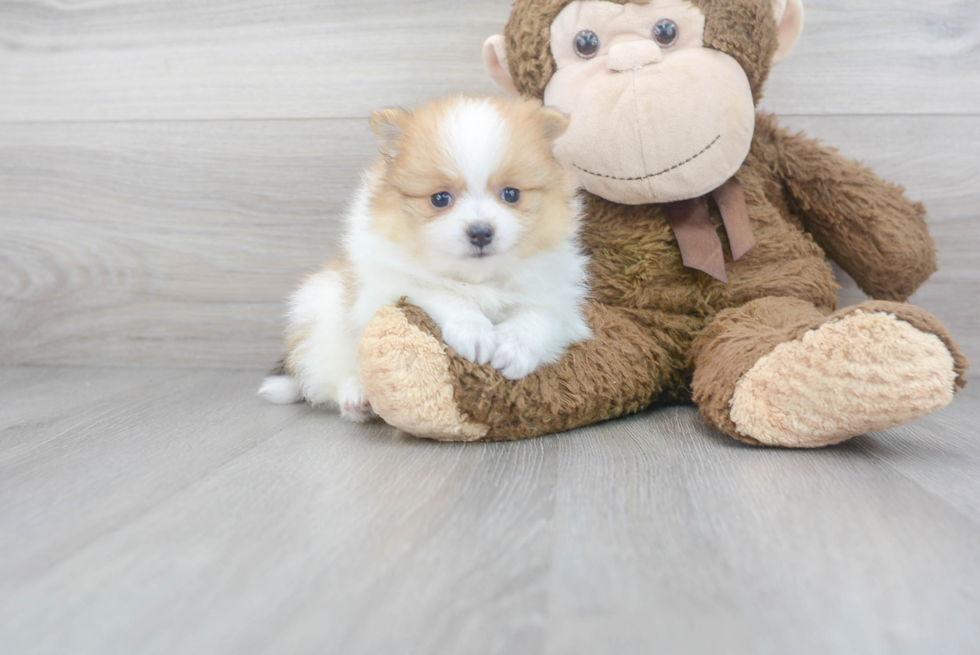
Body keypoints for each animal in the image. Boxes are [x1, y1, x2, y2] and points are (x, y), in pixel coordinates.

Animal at [258, 96, 588, 422]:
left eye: (511, 194)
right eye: (440, 199)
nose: (481, 232)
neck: (477, 278)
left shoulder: (555, 297)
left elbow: (537, 318)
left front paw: (514, 349)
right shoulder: (390, 283)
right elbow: (441, 291)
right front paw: (474, 331)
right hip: (323, 314)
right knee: (330, 374)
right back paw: (356, 396)